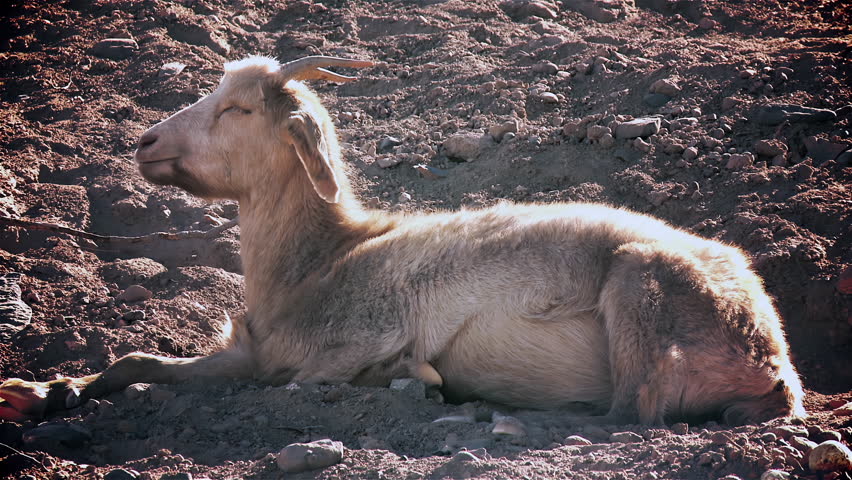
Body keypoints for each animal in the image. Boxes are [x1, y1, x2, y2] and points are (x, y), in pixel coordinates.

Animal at [0, 56, 805, 426]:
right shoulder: (247, 353)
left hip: (642, 287)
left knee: (634, 408)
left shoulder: (354, 337)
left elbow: (310, 381)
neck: (315, 264)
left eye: (237, 109)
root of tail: (775, 359)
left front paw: (413, 379)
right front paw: (43, 391)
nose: (144, 142)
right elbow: (134, 360)